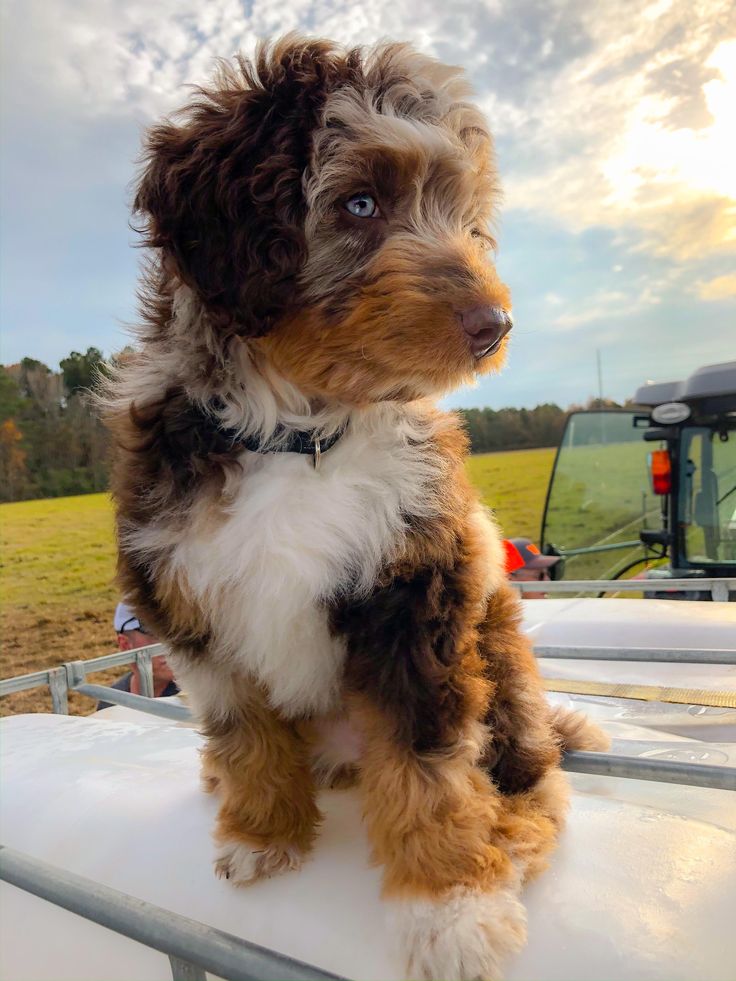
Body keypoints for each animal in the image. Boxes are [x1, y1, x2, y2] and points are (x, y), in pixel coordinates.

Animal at [103, 34, 608, 976]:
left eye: (463, 215)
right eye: (362, 201)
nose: (495, 325)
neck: (298, 434)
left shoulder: (417, 595)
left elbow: (428, 761)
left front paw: (452, 907)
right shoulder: (191, 607)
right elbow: (244, 730)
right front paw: (261, 834)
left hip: (502, 657)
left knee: (532, 770)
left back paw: (514, 834)